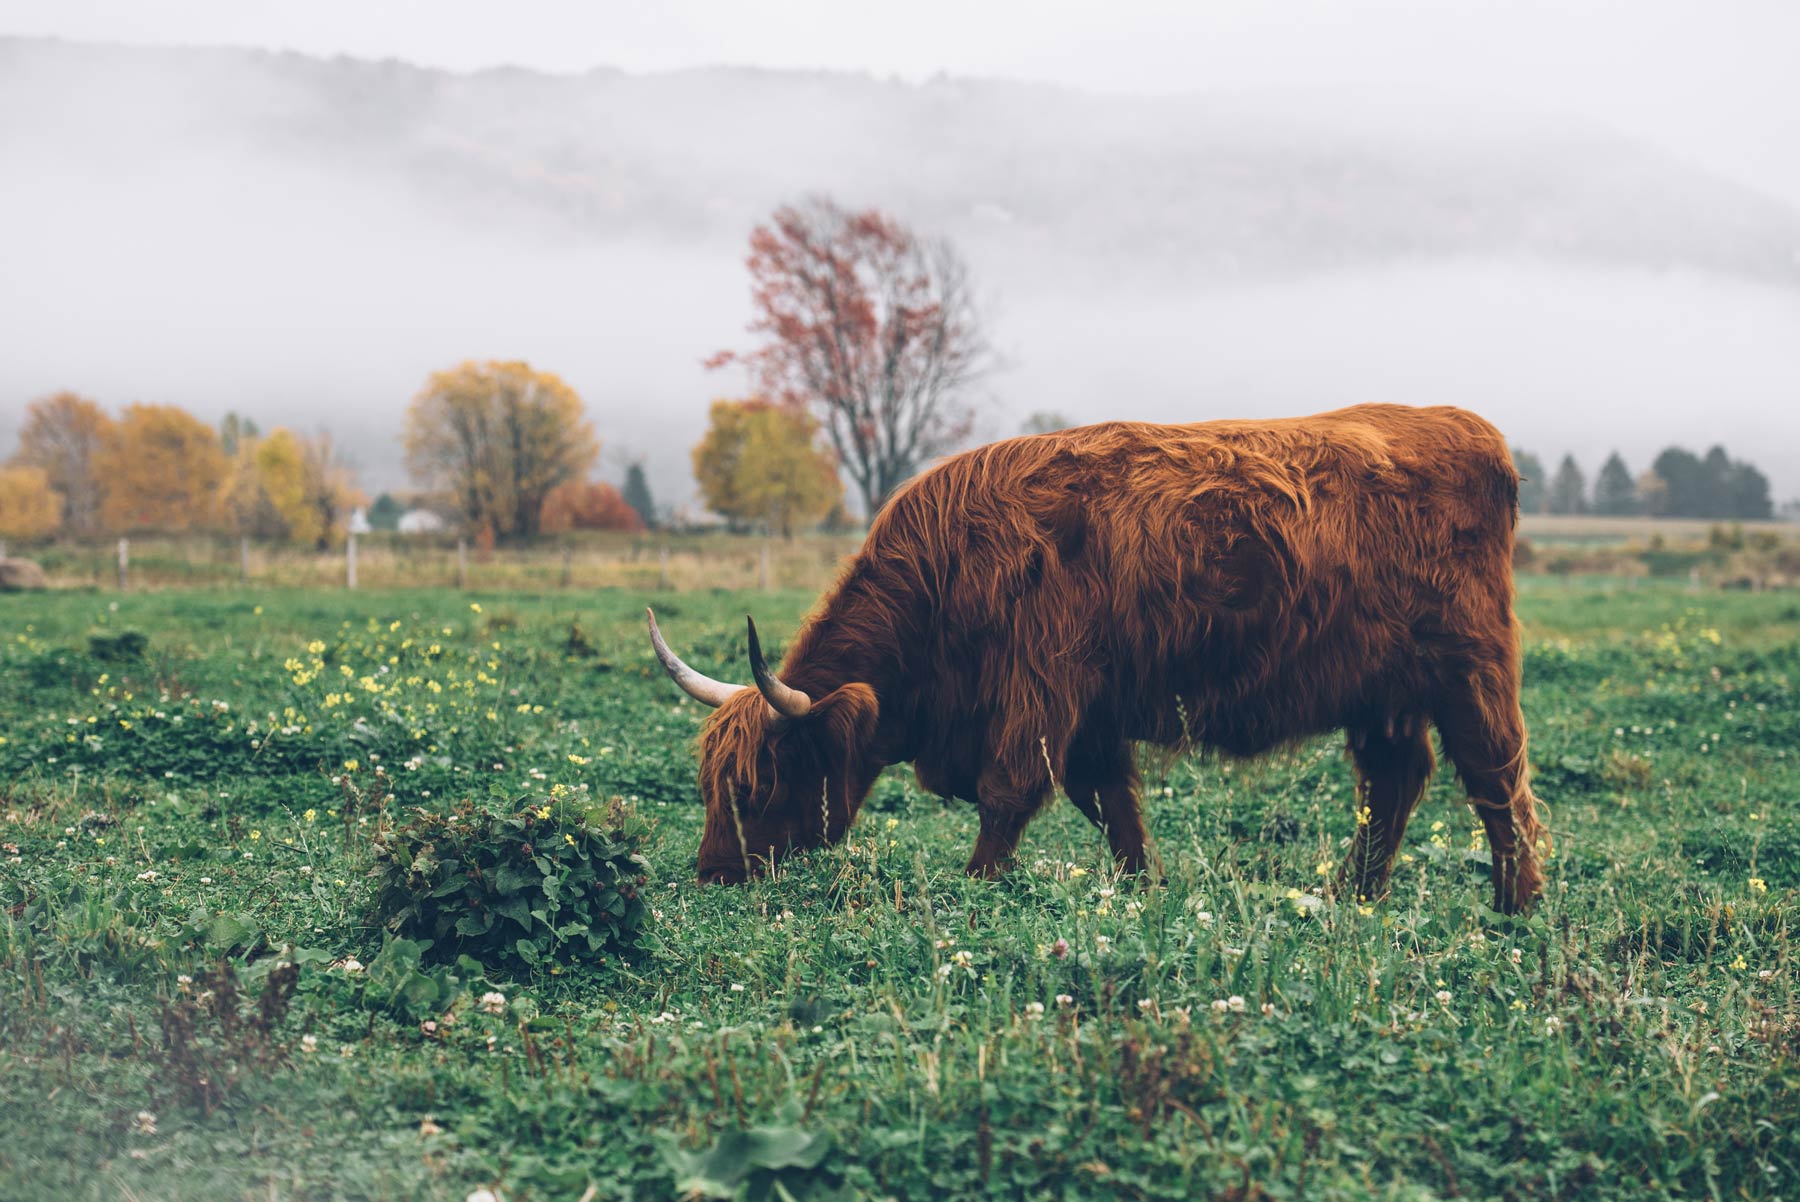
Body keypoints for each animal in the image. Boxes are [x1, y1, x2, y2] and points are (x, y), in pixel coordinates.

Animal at [648, 403, 1548, 910]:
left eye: (759, 783)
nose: (712, 873)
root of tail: (1470, 428)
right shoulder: (1092, 714)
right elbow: (1113, 806)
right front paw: (1143, 888)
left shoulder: (1041, 690)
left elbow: (1008, 795)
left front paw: (978, 890)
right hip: (1381, 691)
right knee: (1395, 780)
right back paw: (1351, 896)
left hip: (1472, 667)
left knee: (1496, 778)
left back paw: (1516, 905)